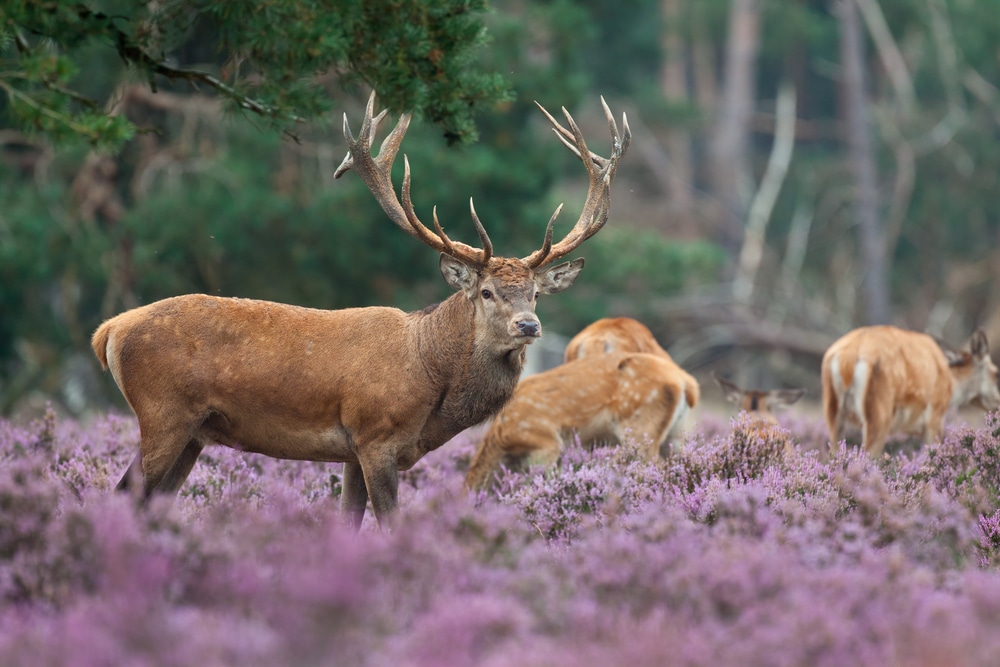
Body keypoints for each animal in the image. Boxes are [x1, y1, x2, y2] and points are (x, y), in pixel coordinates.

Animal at [90, 92, 628, 528]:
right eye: (487, 292)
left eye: (535, 293)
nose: (529, 325)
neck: (429, 374)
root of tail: (109, 330)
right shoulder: (376, 436)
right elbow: (389, 524)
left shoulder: (352, 452)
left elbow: (349, 523)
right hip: (163, 414)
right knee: (120, 495)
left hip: (194, 434)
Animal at [820, 324, 1000, 460]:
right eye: (997, 373)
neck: (952, 385)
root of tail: (847, 360)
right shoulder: (935, 416)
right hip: (879, 412)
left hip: (832, 412)